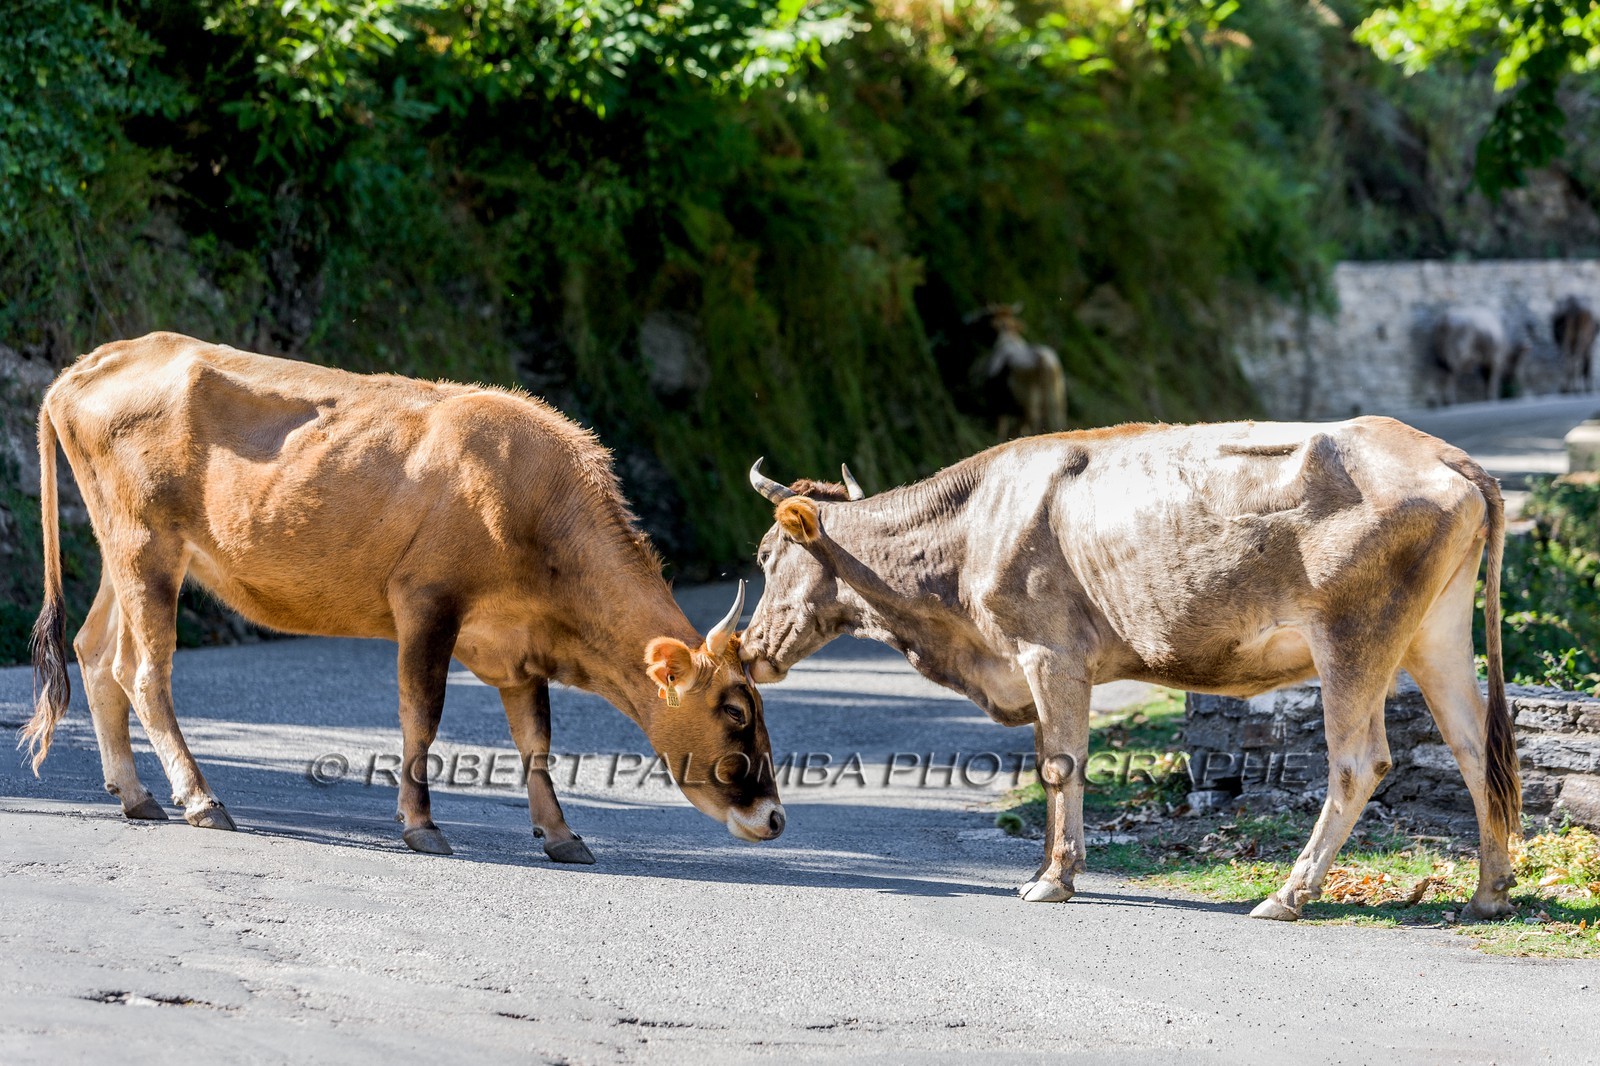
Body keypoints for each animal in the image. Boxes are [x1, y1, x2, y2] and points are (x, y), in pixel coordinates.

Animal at [20, 333, 785, 859]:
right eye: (735, 709)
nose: (775, 816)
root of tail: (93, 363)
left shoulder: (517, 645)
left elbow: (535, 738)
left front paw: (561, 834)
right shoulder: (426, 602)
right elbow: (423, 714)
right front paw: (421, 824)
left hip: (128, 548)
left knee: (94, 651)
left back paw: (136, 793)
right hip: (145, 544)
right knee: (145, 670)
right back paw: (200, 798)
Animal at [741, 418, 1520, 921]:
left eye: (765, 555)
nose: (748, 647)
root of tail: (1440, 452)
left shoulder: (1049, 653)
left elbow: (1062, 764)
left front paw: (1054, 880)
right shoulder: (1035, 666)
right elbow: (1049, 765)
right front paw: (1042, 868)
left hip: (1353, 638)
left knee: (1358, 761)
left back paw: (1287, 895)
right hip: (1435, 636)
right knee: (1472, 747)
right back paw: (1488, 892)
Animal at [968, 305, 1068, 438]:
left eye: (985, 316)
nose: (969, 320)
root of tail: (1043, 359)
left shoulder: (997, 402)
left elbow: (1002, 427)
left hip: (1029, 403)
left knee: (1033, 422)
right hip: (1056, 401)